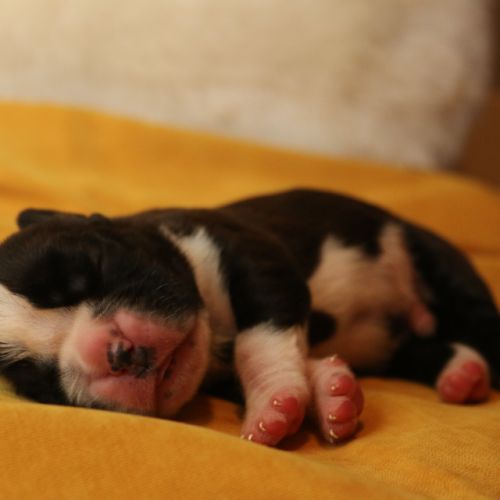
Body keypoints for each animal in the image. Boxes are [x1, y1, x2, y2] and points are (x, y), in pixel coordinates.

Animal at [0, 189, 498, 446]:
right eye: (40, 379)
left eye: (92, 267)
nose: (116, 353)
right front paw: (331, 393)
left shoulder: (252, 253)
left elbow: (261, 337)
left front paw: (273, 403)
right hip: (396, 345)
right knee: (420, 350)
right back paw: (460, 376)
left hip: (435, 261)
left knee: (478, 319)